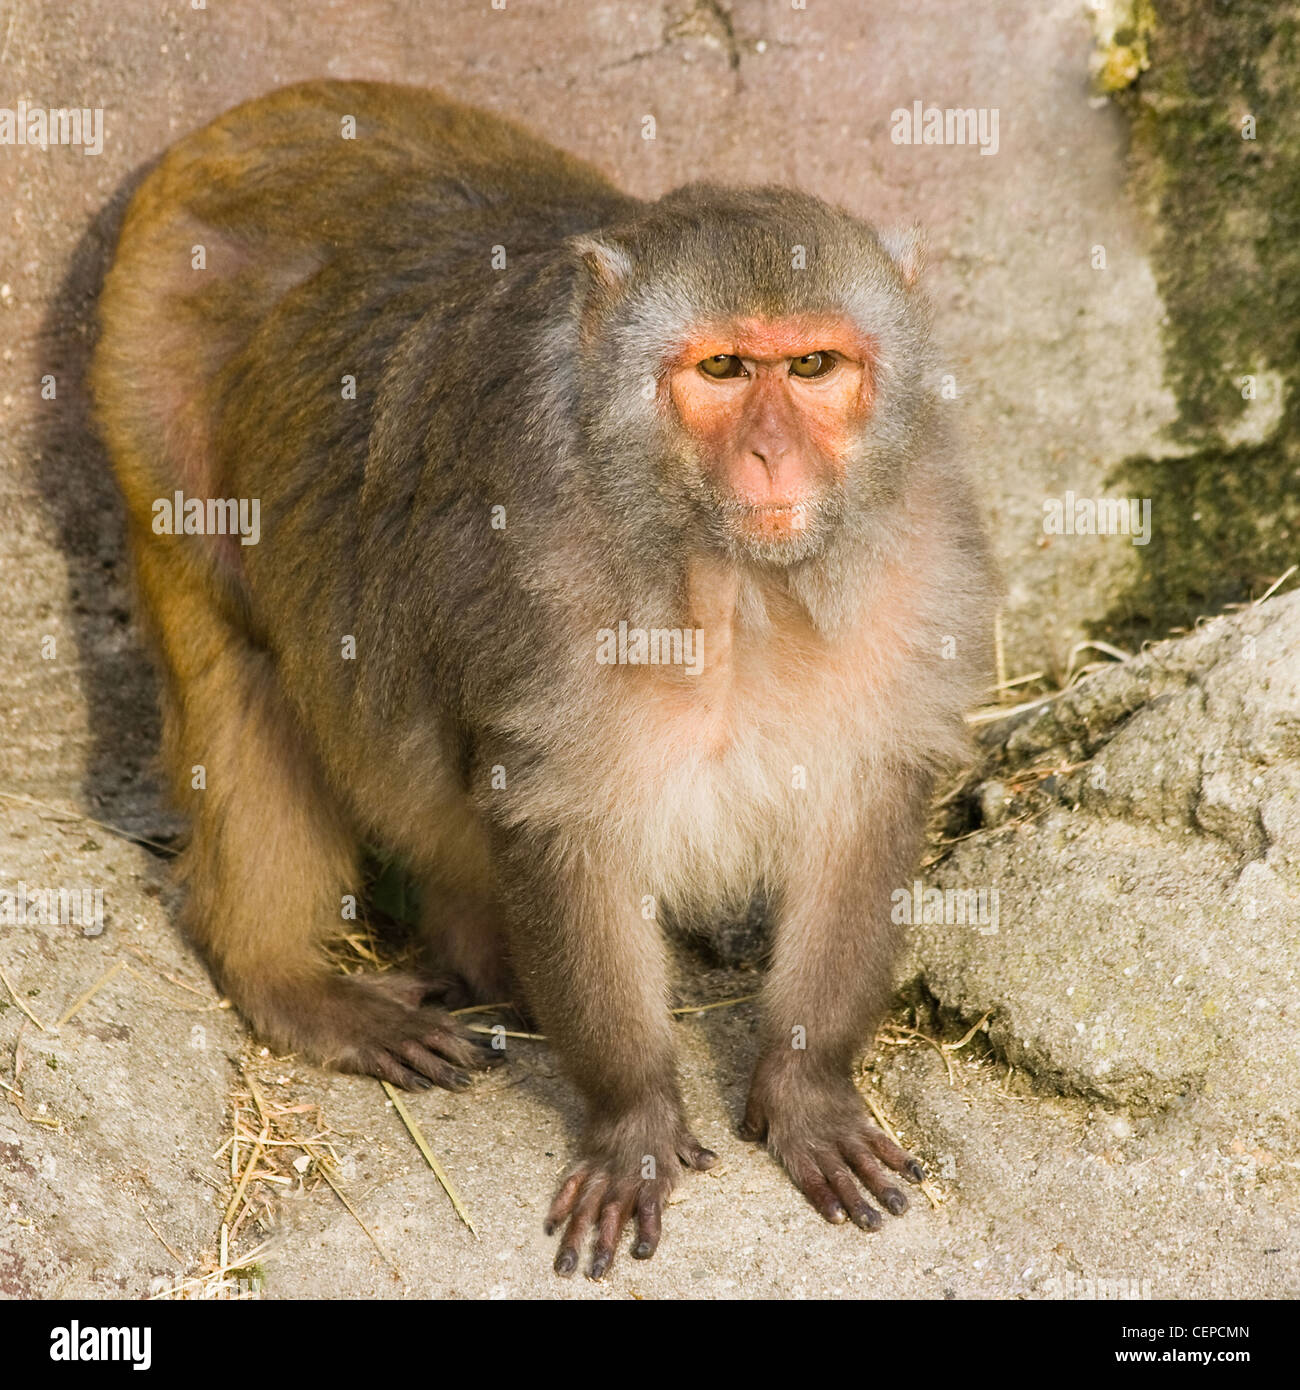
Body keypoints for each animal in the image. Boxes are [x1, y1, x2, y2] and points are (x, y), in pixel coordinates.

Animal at [91, 79, 998, 1279]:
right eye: (721, 371)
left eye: (811, 368)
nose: (772, 457)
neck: (729, 581)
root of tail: (252, 120)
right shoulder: (548, 602)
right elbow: (569, 829)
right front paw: (635, 1119)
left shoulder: (913, 564)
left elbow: (860, 804)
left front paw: (805, 1088)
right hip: (148, 390)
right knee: (240, 656)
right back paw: (291, 980)